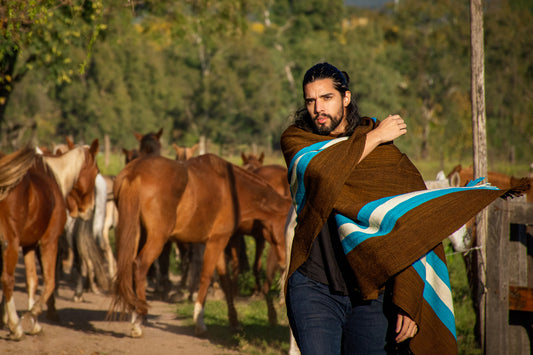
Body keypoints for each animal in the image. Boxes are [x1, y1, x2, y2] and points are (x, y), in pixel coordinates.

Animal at [0, 140, 98, 340]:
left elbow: (32, 281)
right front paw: (31, 315)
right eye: (95, 172)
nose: (89, 210)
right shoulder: (49, 242)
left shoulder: (29, 245)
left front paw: (32, 323)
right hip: (11, 242)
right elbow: (50, 281)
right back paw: (16, 328)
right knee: (7, 279)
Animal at [109, 154, 290, 338]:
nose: (284, 264)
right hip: (157, 238)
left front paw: (234, 322)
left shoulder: (218, 242)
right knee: (140, 266)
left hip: (136, 234)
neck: (232, 188)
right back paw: (139, 319)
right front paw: (199, 321)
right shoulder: (216, 242)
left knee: (128, 268)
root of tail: (134, 172)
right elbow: (206, 277)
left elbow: (225, 280)